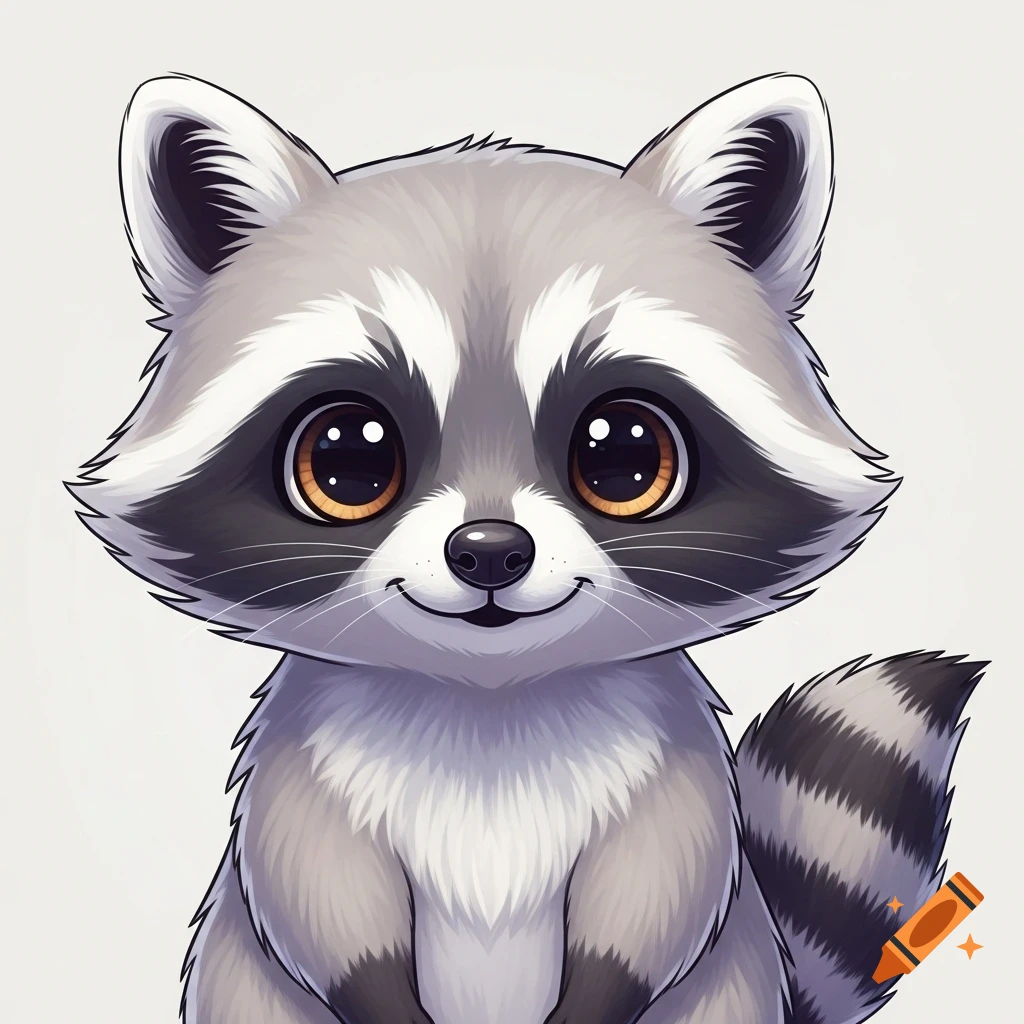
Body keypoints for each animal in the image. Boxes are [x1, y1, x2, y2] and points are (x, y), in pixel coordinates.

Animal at [69, 72, 984, 1024]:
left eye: (622, 452)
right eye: (349, 457)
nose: (488, 551)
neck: (489, 703)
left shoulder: (670, 770)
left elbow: (659, 899)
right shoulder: (305, 774)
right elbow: (320, 902)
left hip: (729, 991)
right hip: (242, 990)